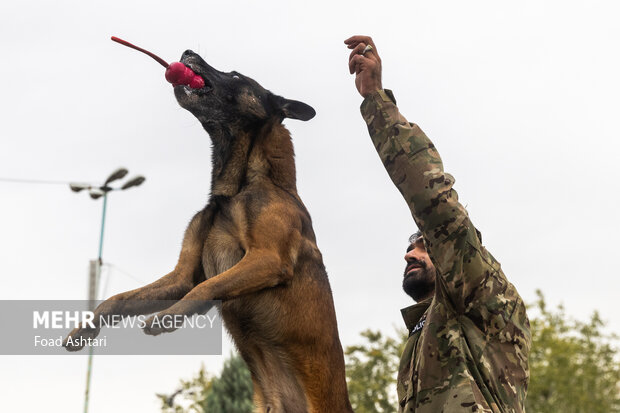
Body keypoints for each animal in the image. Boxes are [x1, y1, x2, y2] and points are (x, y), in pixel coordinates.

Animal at [64, 49, 354, 412]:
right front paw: (85, 329)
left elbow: (207, 287)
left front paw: (169, 317)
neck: (237, 188)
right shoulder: (182, 276)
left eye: (236, 75)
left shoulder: (268, 259)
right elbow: (118, 299)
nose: (187, 52)